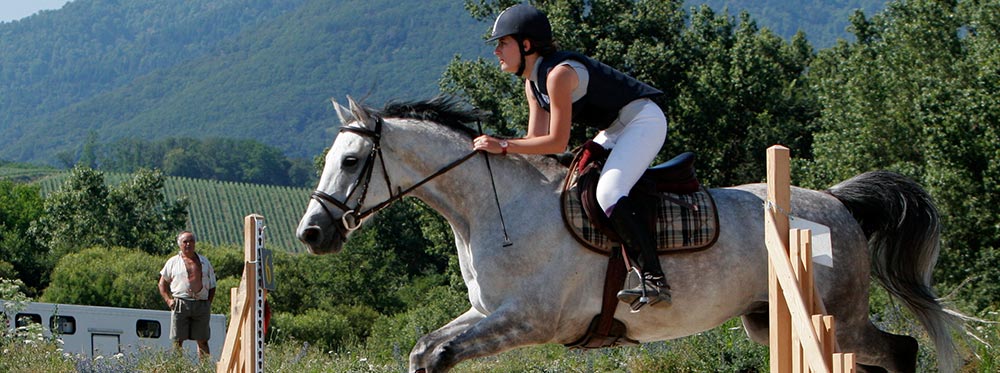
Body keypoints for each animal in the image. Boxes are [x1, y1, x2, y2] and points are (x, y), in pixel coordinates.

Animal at [292, 96, 964, 372]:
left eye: (351, 161)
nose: (311, 234)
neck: (494, 208)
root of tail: (838, 203)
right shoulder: (486, 312)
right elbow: (425, 350)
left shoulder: (530, 320)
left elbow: (438, 353)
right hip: (770, 320)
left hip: (837, 316)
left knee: (900, 350)